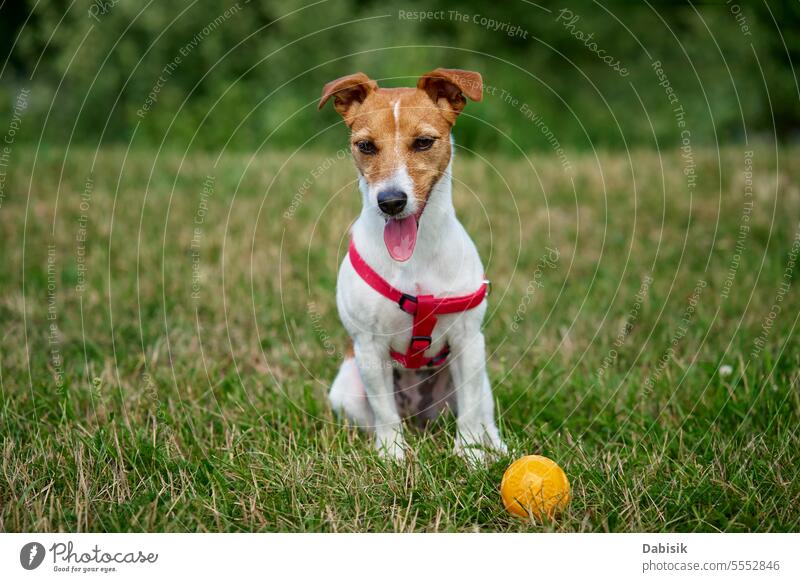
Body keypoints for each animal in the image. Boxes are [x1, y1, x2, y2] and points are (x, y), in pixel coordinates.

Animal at [320, 68, 504, 464]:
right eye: (365, 146)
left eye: (423, 142)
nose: (390, 201)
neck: (415, 258)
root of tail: (420, 416)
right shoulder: (369, 347)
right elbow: (385, 413)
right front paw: (392, 455)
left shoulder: (468, 339)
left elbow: (471, 412)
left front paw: (470, 454)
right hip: (347, 390)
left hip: (477, 372)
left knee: (481, 408)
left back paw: (495, 445)